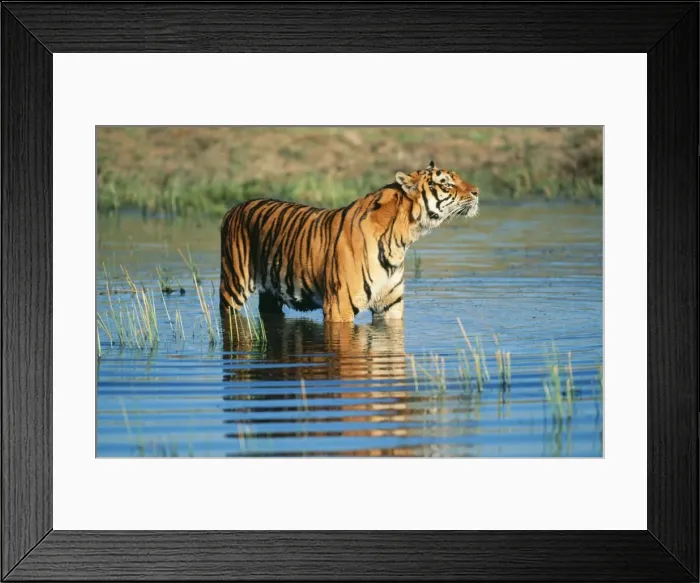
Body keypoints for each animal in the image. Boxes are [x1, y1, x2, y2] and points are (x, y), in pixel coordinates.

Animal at [219, 161, 479, 323]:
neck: (401, 240)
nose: (477, 192)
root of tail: (233, 208)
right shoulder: (339, 306)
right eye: (446, 184)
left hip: (271, 294)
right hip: (233, 285)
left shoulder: (390, 306)